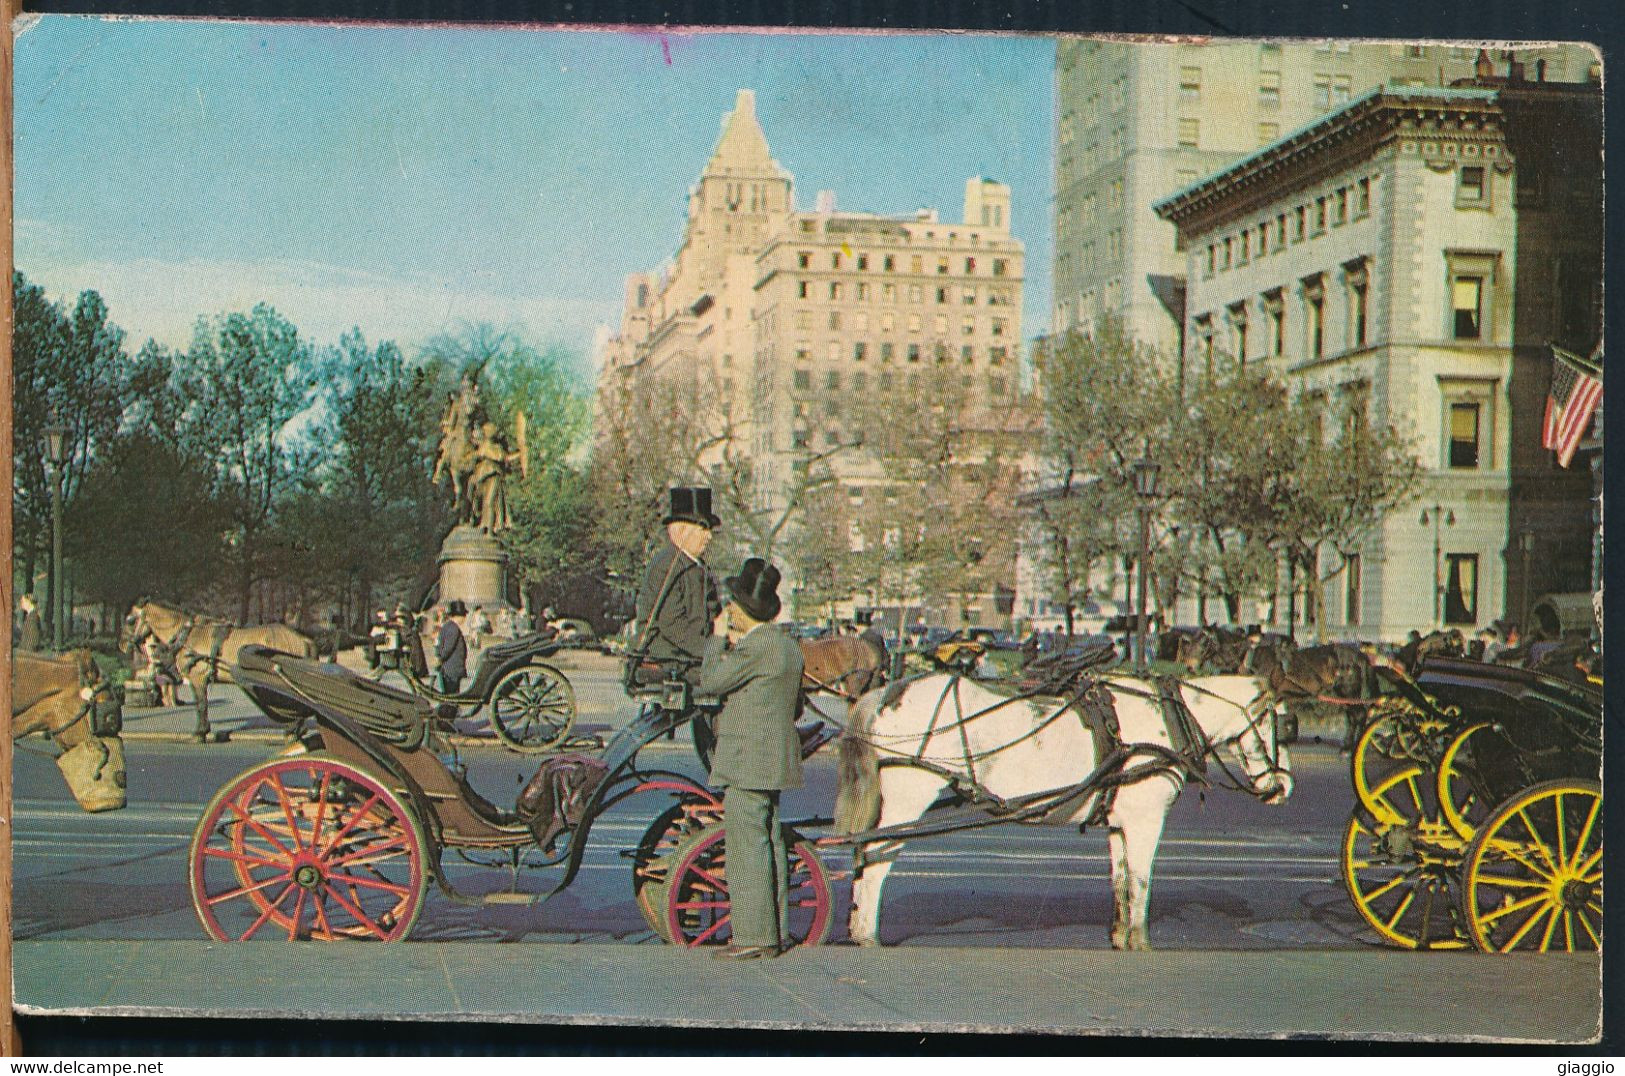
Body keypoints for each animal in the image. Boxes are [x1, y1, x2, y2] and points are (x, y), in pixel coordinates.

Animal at [123, 598, 316, 741]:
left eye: (130, 620)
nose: (123, 645)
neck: (188, 635)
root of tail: (303, 638)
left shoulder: (198, 678)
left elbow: (201, 704)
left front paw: (200, 733)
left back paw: (293, 731)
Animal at [838, 676, 1293, 955]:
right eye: (1281, 725)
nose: (1284, 787)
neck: (1164, 719)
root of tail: (887, 692)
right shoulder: (1146, 820)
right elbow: (1142, 880)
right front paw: (1141, 942)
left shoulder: (1120, 823)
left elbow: (1121, 880)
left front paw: (1120, 938)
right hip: (908, 798)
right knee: (875, 858)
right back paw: (867, 935)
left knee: (863, 856)